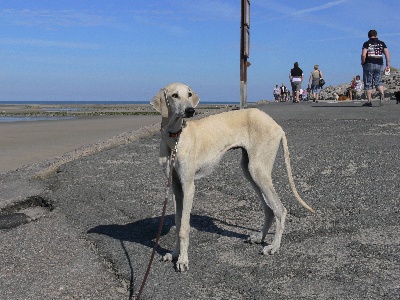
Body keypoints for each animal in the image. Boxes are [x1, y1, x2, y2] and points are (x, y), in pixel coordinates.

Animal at [151, 82, 316, 272]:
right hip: (249, 170)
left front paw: (183, 260)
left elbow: (184, 227)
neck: (175, 138)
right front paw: (175, 254)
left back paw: (274, 246)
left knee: (280, 209)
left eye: (189, 94)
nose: (190, 111)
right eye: (175, 95)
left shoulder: (188, 186)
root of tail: (277, 126)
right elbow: (178, 224)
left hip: (258, 170)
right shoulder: (176, 188)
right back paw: (259, 238)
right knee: (269, 209)